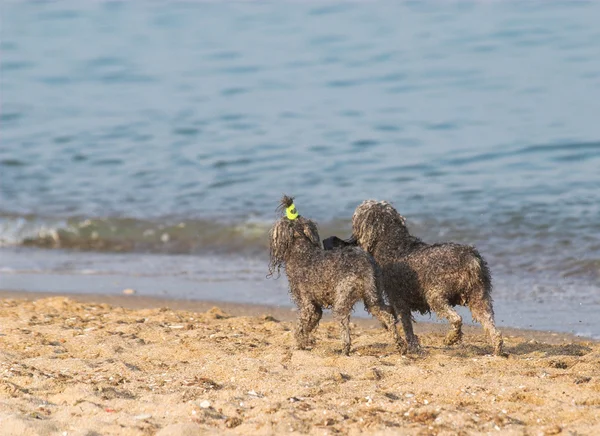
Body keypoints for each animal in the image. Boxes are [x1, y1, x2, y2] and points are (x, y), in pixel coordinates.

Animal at [268, 196, 406, 356]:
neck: (301, 251)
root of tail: (365, 264)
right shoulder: (315, 307)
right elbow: (307, 326)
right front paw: (306, 341)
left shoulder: (307, 304)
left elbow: (300, 327)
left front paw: (300, 343)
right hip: (373, 297)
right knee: (388, 316)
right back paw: (399, 343)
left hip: (344, 297)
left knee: (345, 327)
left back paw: (345, 349)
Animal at [326, 199, 504, 356]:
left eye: (355, 217)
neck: (392, 243)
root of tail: (470, 258)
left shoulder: (398, 300)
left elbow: (406, 327)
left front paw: (412, 346)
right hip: (479, 297)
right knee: (493, 329)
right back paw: (496, 350)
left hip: (435, 295)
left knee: (457, 319)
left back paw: (450, 339)